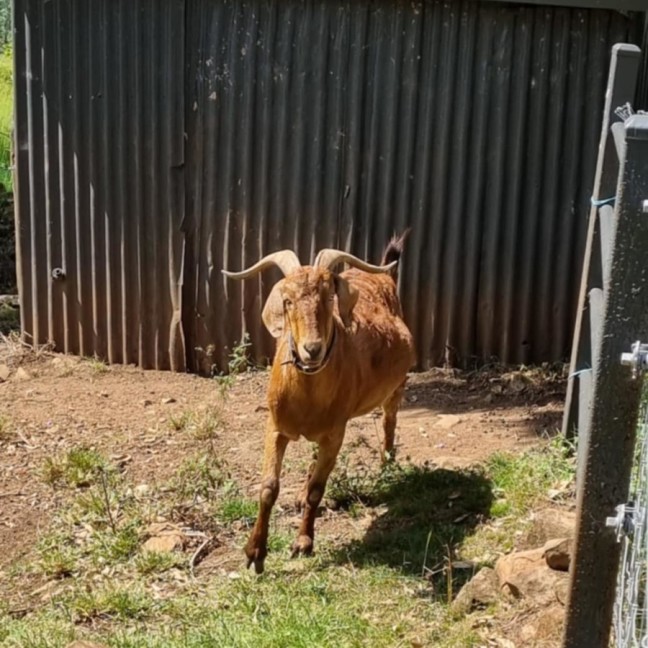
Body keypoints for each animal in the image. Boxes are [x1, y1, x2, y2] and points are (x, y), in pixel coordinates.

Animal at [222, 232, 415, 573]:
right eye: (287, 301)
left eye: (328, 297)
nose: (312, 349)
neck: (306, 399)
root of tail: (384, 276)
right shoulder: (275, 426)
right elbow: (269, 486)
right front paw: (255, 552)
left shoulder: (335, 434)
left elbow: (316, 490)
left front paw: (303, 542)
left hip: (396, 386)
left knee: (389, 419)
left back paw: (387, 463)